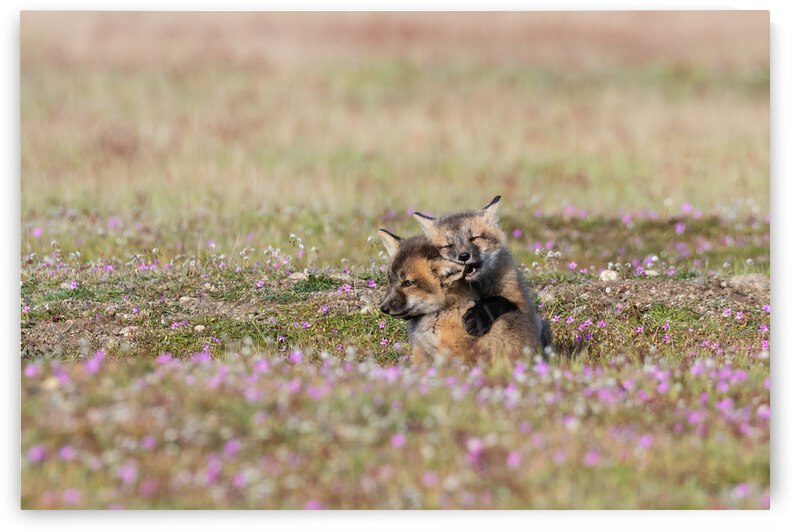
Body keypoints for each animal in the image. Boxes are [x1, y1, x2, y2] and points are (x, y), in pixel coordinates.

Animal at [412, 195, 552, 352]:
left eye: (474, 238)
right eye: (448, 246)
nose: (463, 256)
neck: (477, 287)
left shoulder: (524, 308)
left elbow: (500, 300)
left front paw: (479, 316)